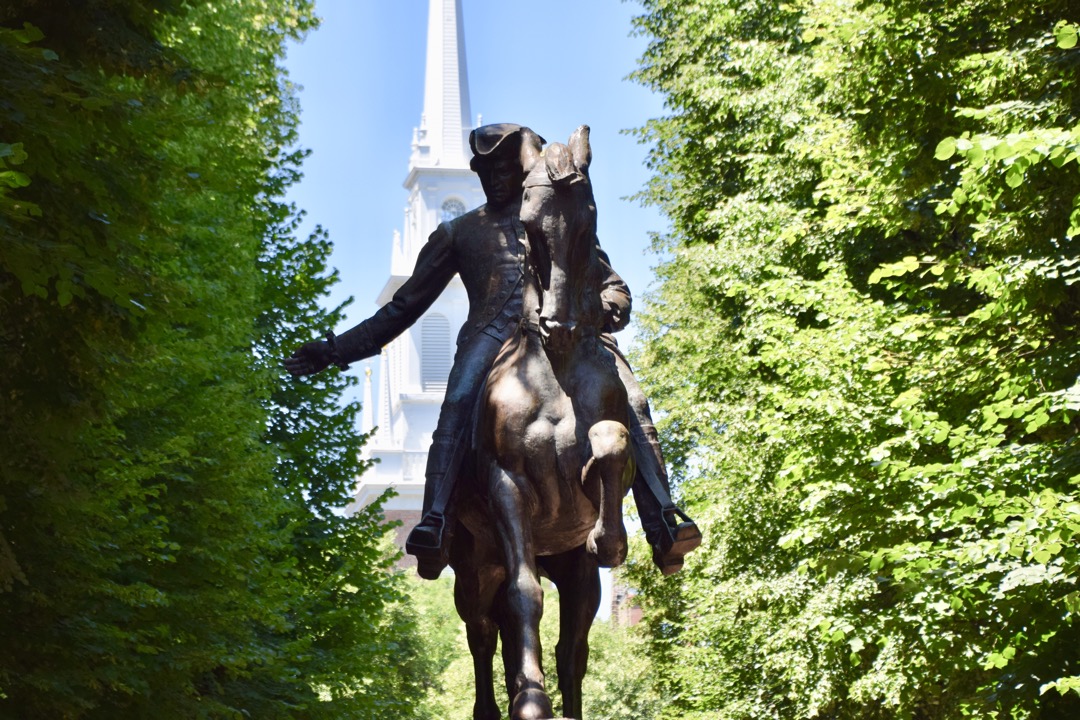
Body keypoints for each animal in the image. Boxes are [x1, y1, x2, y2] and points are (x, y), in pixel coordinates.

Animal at [447, 129, 630, 720]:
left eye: (589, 221)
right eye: (527, 225)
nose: (559, 323)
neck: (553, 369)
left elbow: (612, 441)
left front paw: (610, 538)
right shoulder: (507, 486)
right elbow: (524, 594)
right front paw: (530, 699)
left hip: (575, 576)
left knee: (573, 649)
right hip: (474, 570)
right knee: (485, 633)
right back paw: (497, 703)